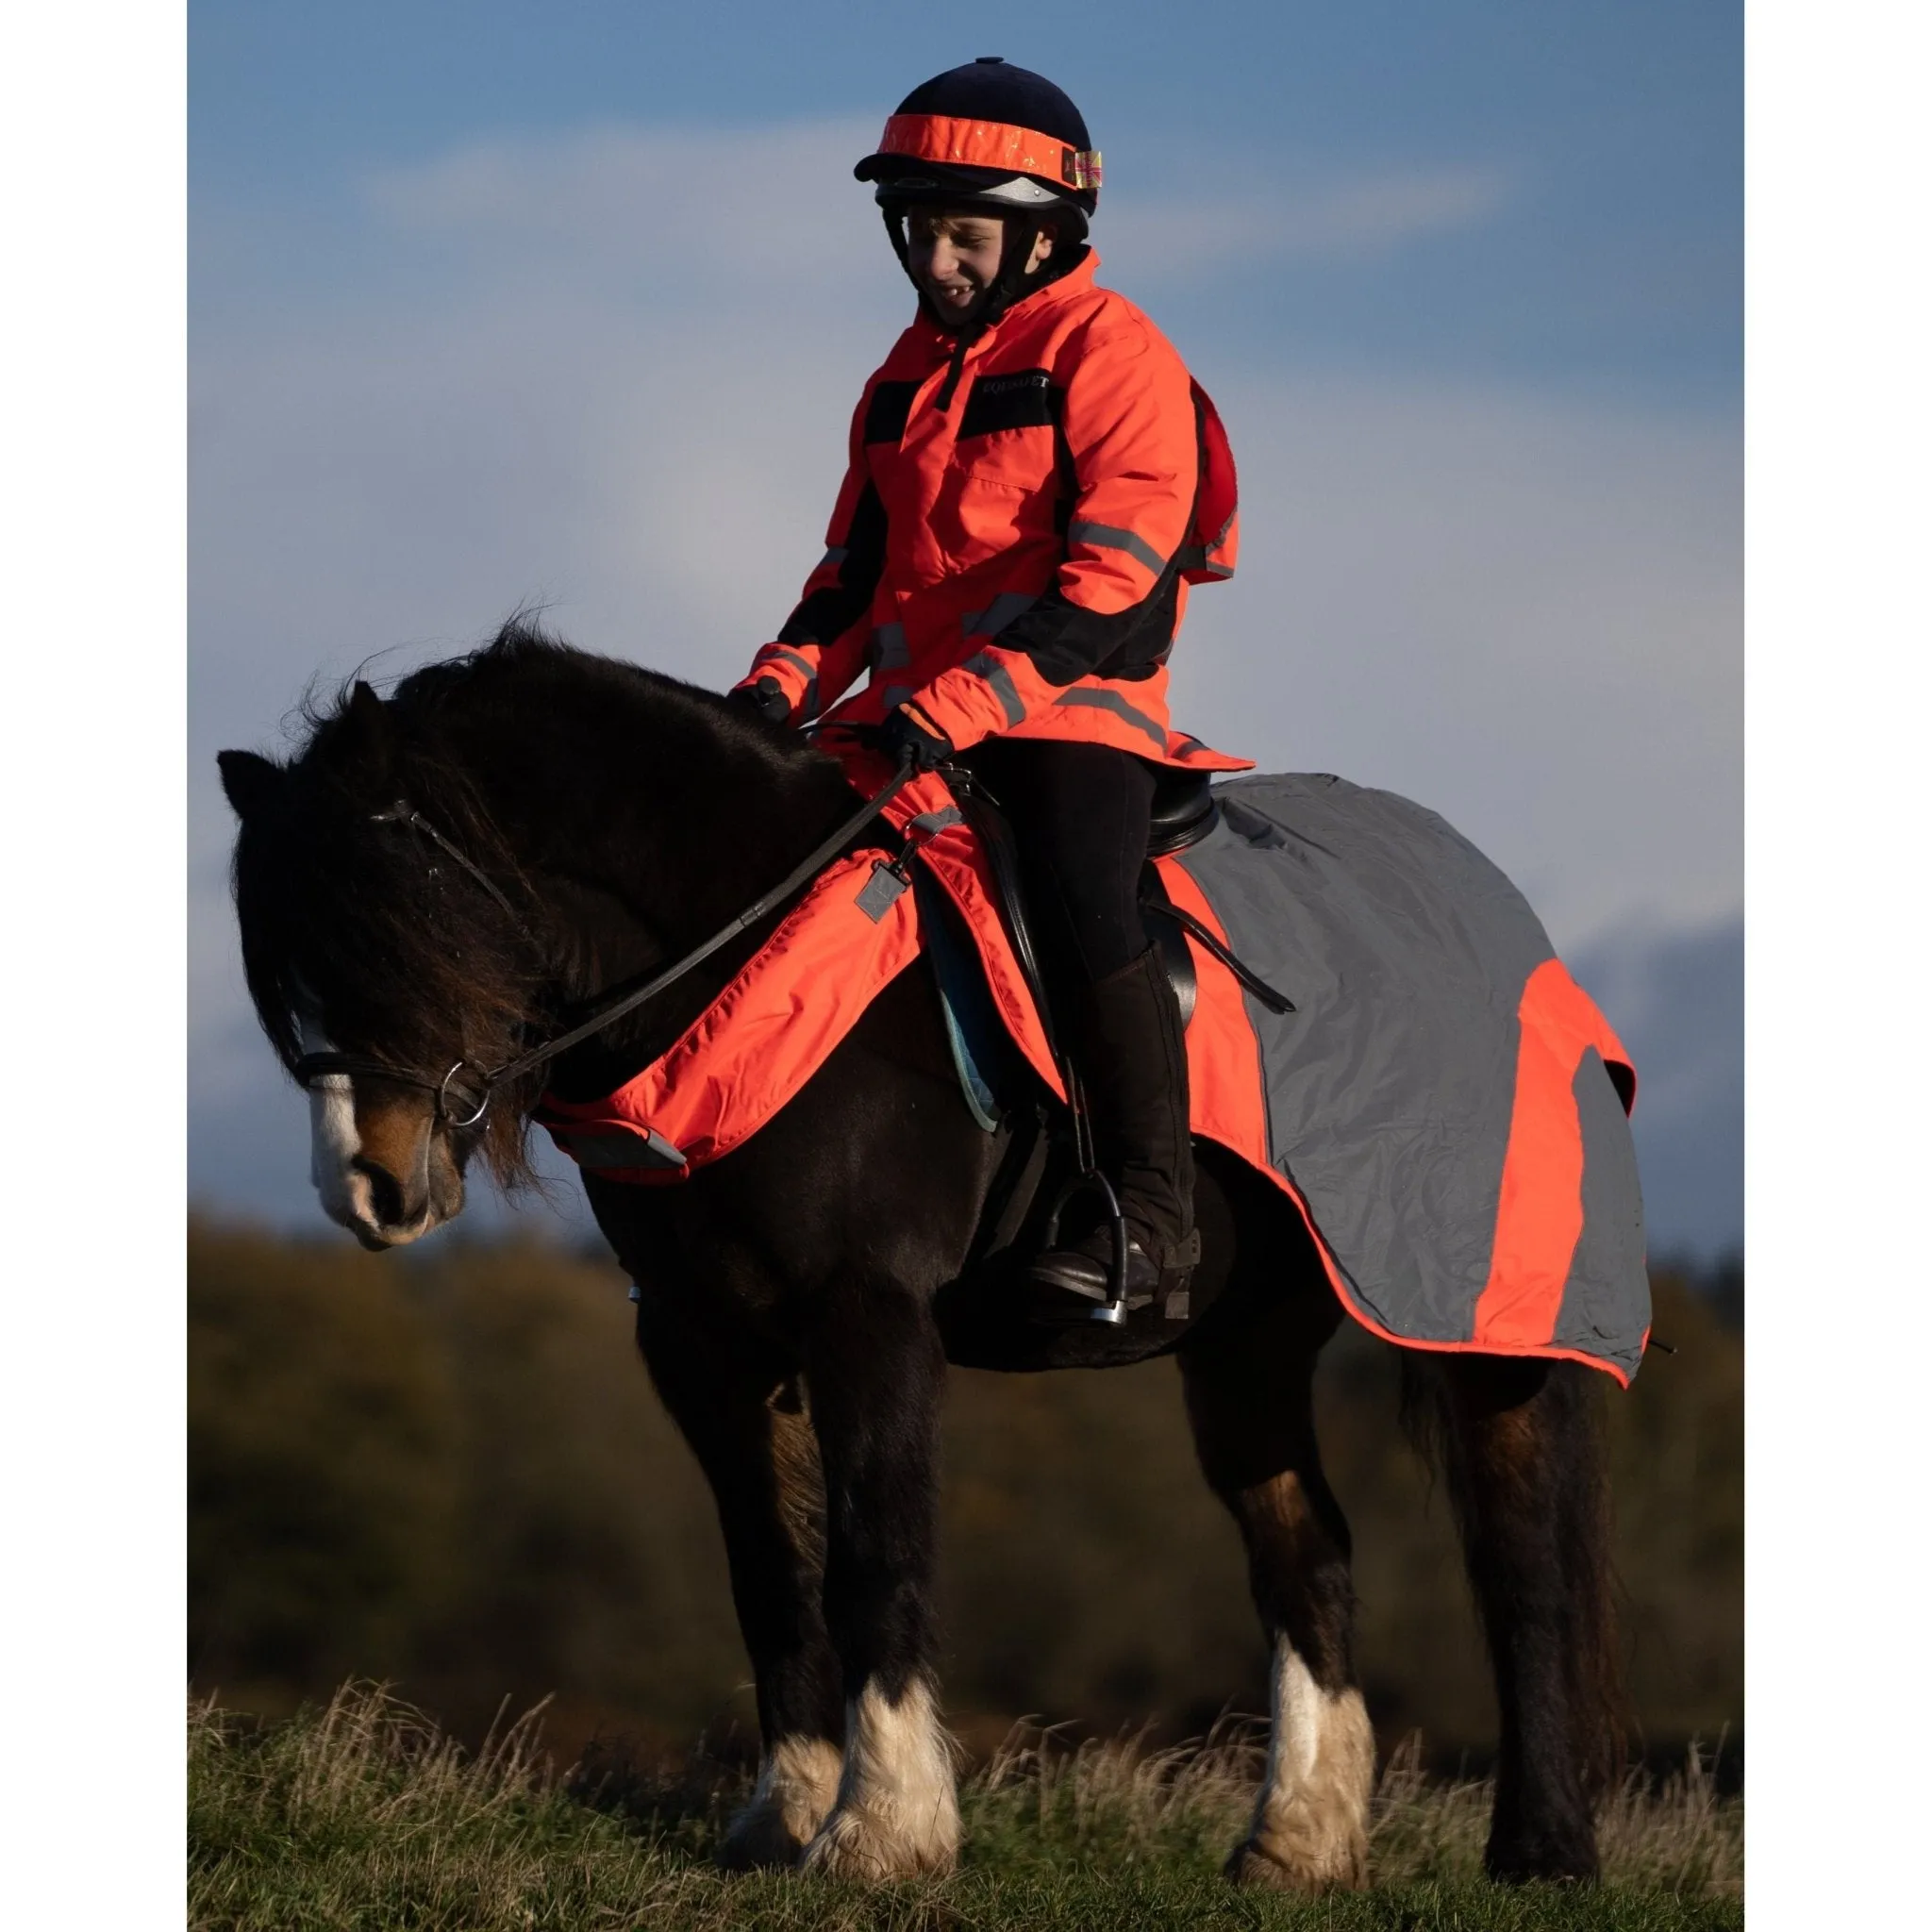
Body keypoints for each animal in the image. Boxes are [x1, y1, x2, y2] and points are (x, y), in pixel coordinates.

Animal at [219, 629, 1623, 1885]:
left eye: (397, 923)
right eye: (287, 964)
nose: (364, 1186)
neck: (748, 949)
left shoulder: (867, 1311)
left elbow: (872, 1552)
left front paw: (882, 1832)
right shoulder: (699, 1336)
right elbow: (769, 1570)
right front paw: (782, 1815)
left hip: (1490, 1318)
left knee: (1523, 1568)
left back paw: (1541, 1850)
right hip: (1247, 1341)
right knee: (1306, 1551)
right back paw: (1299, 1841)